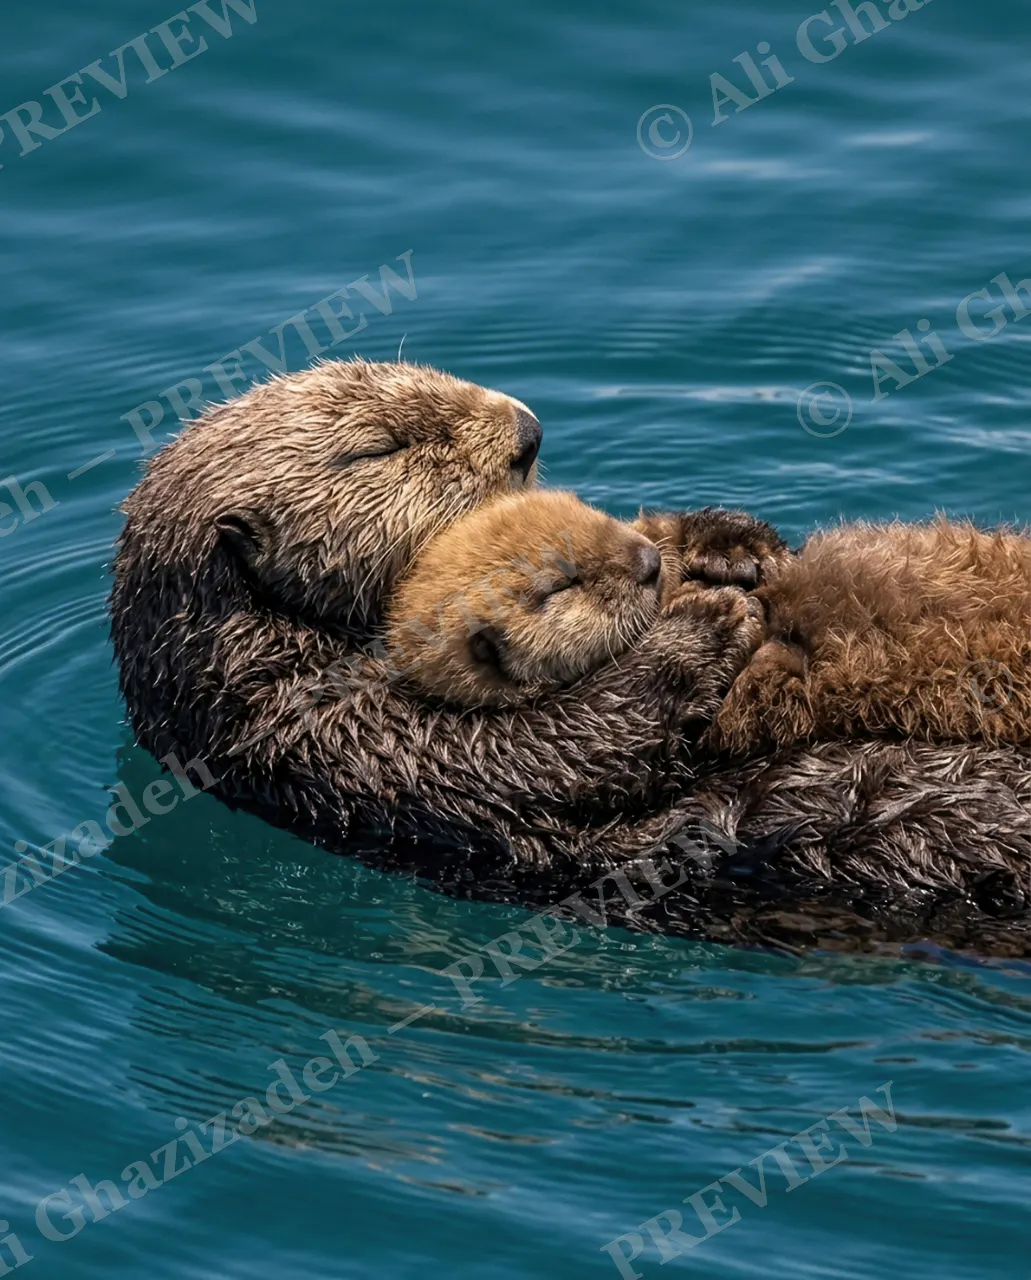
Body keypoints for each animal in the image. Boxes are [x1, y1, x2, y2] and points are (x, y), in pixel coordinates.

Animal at [110, 360, 1031, 956]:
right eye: (378, 447)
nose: (526, 430)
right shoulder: (328, 739)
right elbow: (552, 749)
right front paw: (704, 618)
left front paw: (723, 543)